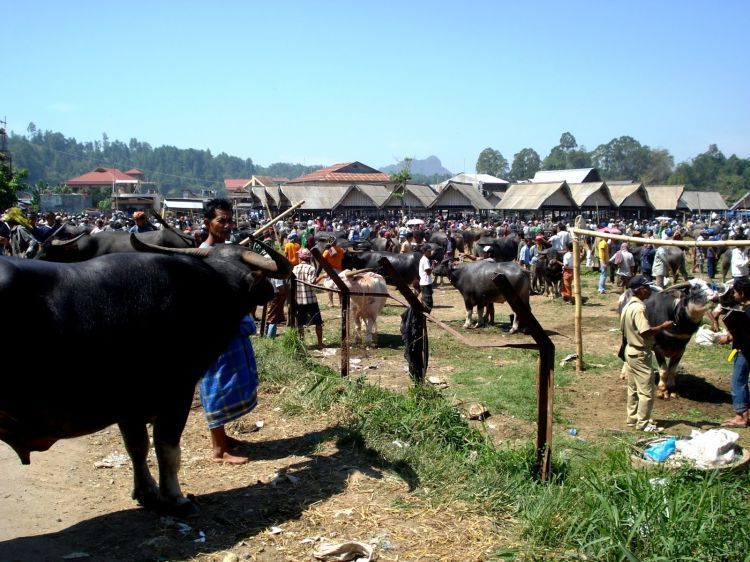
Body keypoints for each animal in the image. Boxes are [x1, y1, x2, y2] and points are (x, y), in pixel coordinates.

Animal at [0, 234, 290, 516]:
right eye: (256, 274)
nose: (272, 288)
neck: (211, 289)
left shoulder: (128, 405)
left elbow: (137, 446)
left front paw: (145, 492)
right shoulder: (177, 392)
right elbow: (166, 447)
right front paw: (175, 498)